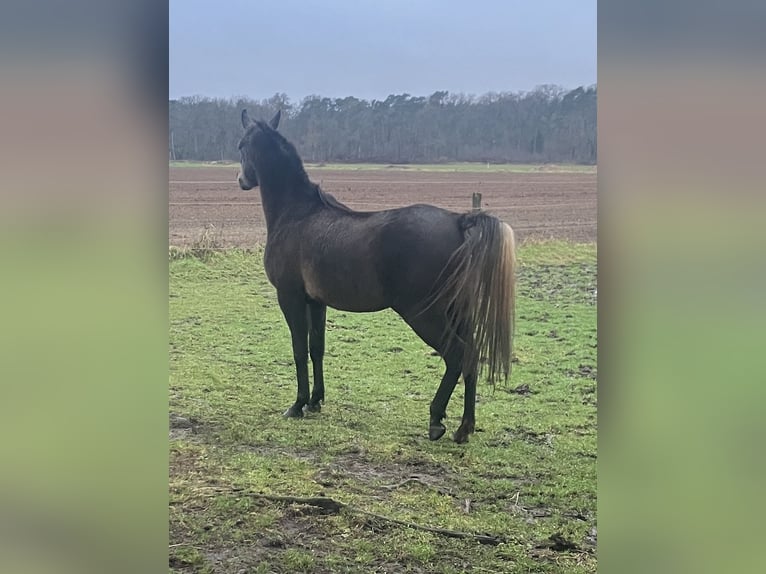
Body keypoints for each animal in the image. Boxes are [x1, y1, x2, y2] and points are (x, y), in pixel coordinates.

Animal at [237, 109, 520, 446]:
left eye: (241, 145)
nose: (241, 180)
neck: (298, 214)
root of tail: (459, 221)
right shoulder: (316, 301)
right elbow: (316, 348)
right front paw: (316, 401)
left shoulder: (290, 297)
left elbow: (298, 349)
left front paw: (297, 405)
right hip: (456, 310)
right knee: (472, 356)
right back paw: (465, 427)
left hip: (424, 314)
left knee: (456, 355)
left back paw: (436, 421)